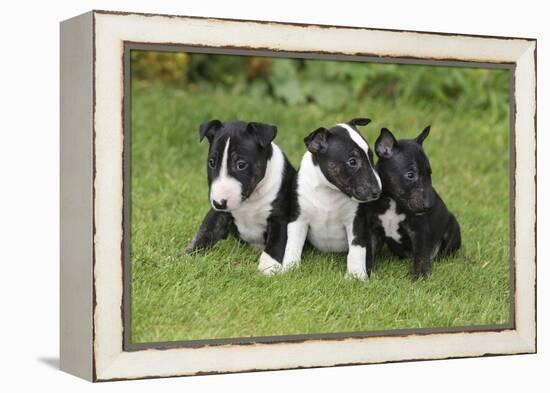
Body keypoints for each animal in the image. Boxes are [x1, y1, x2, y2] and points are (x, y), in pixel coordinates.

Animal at [183, 118, 298, 274]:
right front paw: (187, 255)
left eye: (241, 164)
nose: (219, 203)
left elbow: (276, 241)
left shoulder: (279, 217)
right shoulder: (218, 213)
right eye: (211, 162)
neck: (250, 198)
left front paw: (268, 267)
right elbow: (205, 232)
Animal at [282, 118, 382, 280]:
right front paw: (289, 270)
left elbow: (357, 249)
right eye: (352, 161)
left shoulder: (356, 221)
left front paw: (356, 276)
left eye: (371, 156)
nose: (377, 191)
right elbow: (293, 244)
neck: (329, 190)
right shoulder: (298, 218)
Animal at [368, 124, 464, 278]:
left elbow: (421, 254)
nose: (430, 206)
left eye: (429, 173)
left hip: (453, 228)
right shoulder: (373, 230)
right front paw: (366, 272)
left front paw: (420, 275)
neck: (393, 202)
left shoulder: (420, 231)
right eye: (410, 175)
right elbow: (368, 252)